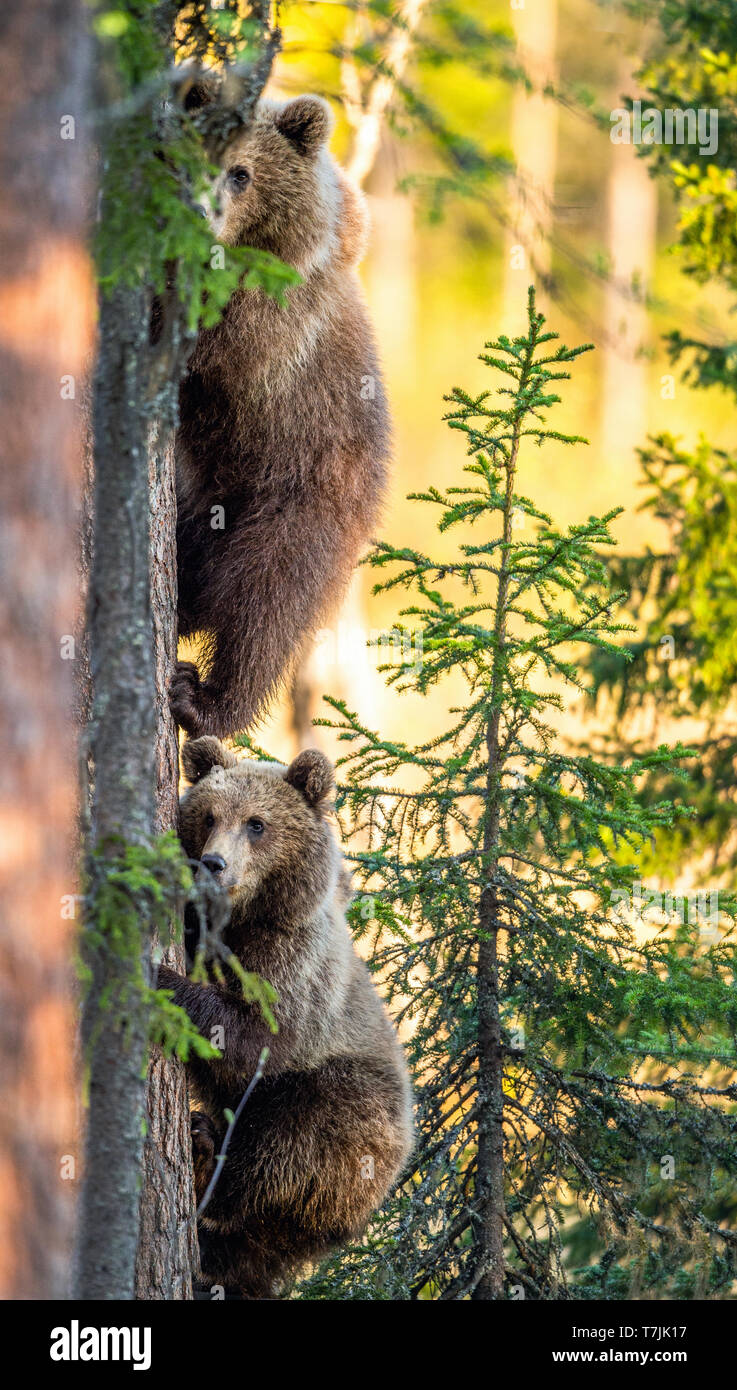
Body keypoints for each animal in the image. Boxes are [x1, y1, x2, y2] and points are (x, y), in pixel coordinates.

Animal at [157, 735, 413, 1298]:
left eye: (257, 823)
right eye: (209, 815)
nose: (213, 863)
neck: (243, 919)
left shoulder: (295, 965)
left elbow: (257, 1032)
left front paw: (162, 981)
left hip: (355, 1112)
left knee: (286, 1143)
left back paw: (206, 1156)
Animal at [169, 94, 390, 739]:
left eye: (243, 172)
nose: (203, 212)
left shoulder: (276, 322)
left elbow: (221, 332)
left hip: (299, 504)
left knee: (264, 611)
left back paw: (204, 699)